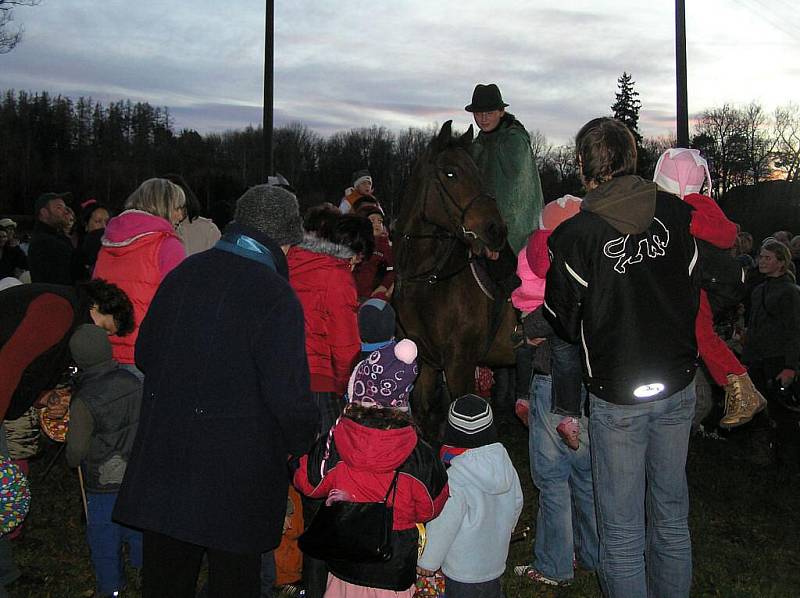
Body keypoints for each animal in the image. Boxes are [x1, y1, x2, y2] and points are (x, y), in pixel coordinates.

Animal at [394, 122, 520, 440]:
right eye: (451, 173)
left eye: (478, 173)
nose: (496, 231)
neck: (430, 279)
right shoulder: (425, 361)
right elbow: (424, 411)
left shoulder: (459, 365)